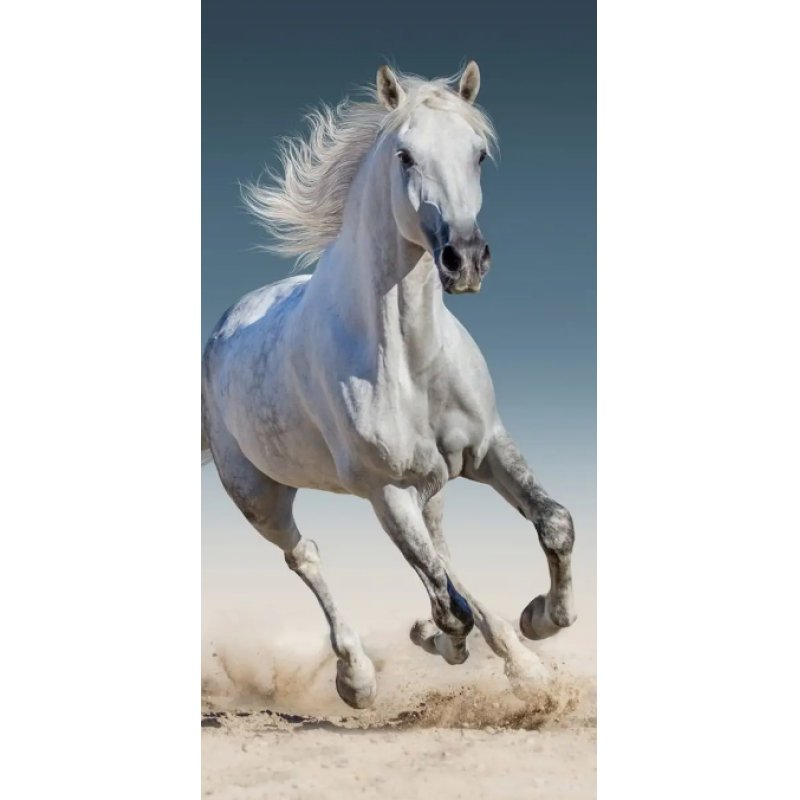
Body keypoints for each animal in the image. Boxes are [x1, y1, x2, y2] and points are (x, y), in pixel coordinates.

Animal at [201, 62, 576, 709]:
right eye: (405, 155)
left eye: (478, 154)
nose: (464, 259)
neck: (410, 357)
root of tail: (224, 328)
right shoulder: (387, 489)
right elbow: (448, 603)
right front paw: (441, 639)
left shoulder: (486, 449)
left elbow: (554, 524)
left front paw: (540, 620)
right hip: (259, 496)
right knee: (307, 557)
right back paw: (357, 678)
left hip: (432, 484)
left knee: (442, 555)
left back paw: (521, 662)